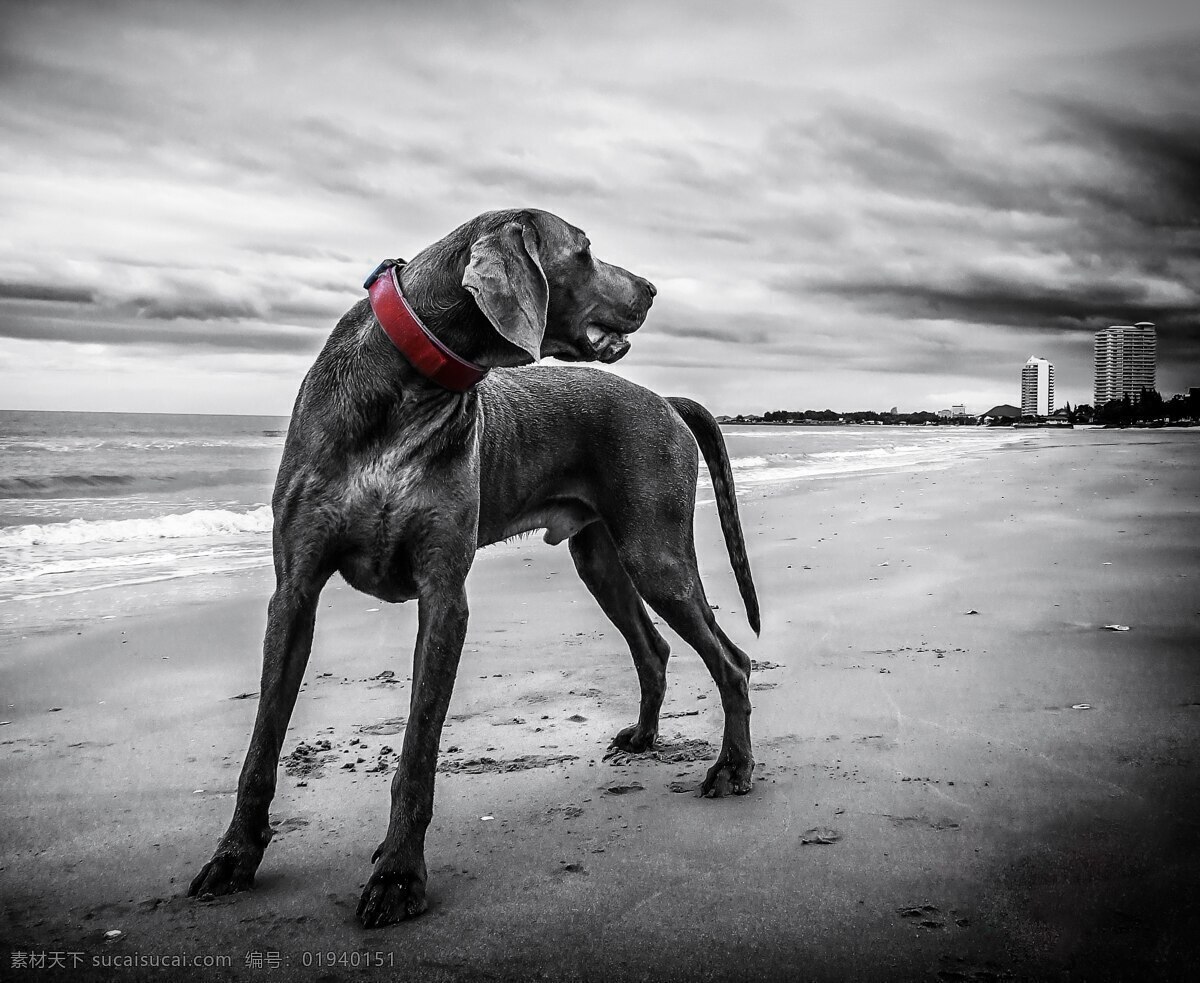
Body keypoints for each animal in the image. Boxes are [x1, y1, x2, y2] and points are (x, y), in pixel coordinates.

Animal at [189, 210, 758, 931]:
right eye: (585, 250)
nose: (653, 289)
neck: (410, 386)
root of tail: (664, 399)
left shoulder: (443, 597)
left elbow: (417, 751)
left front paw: (398, 877)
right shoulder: (295, 591)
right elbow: (262, 743)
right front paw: (234, 855)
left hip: (656, 553)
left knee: (731, 660)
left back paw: (732, 769)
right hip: (601, 557)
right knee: (654, 646)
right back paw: (646, 737)